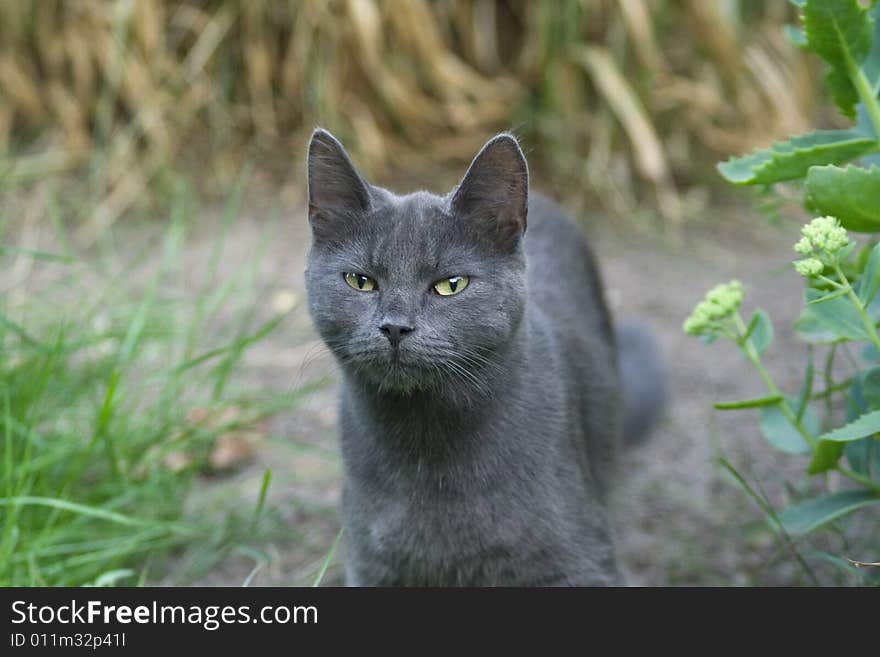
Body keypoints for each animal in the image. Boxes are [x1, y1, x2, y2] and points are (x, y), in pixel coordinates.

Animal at [304, 128, 668, 584]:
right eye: (360, 281)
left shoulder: (582, 561)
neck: (428, 445)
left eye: (451, 285)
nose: (395, 327)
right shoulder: (371, 562)